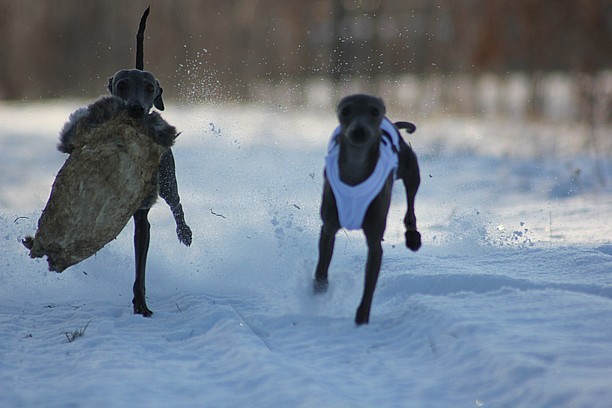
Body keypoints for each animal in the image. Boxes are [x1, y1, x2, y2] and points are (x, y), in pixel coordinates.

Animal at [316, 93, 420, 326]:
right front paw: (317, 293)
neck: (355, 170)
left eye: (374, 111)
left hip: (410, 169)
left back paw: (413, 236)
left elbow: (370, 284)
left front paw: (362, 317)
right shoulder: (329, 228)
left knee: (410, 205)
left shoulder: (374, 240)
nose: (359, 130)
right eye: (345, 110)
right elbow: (321, 268)